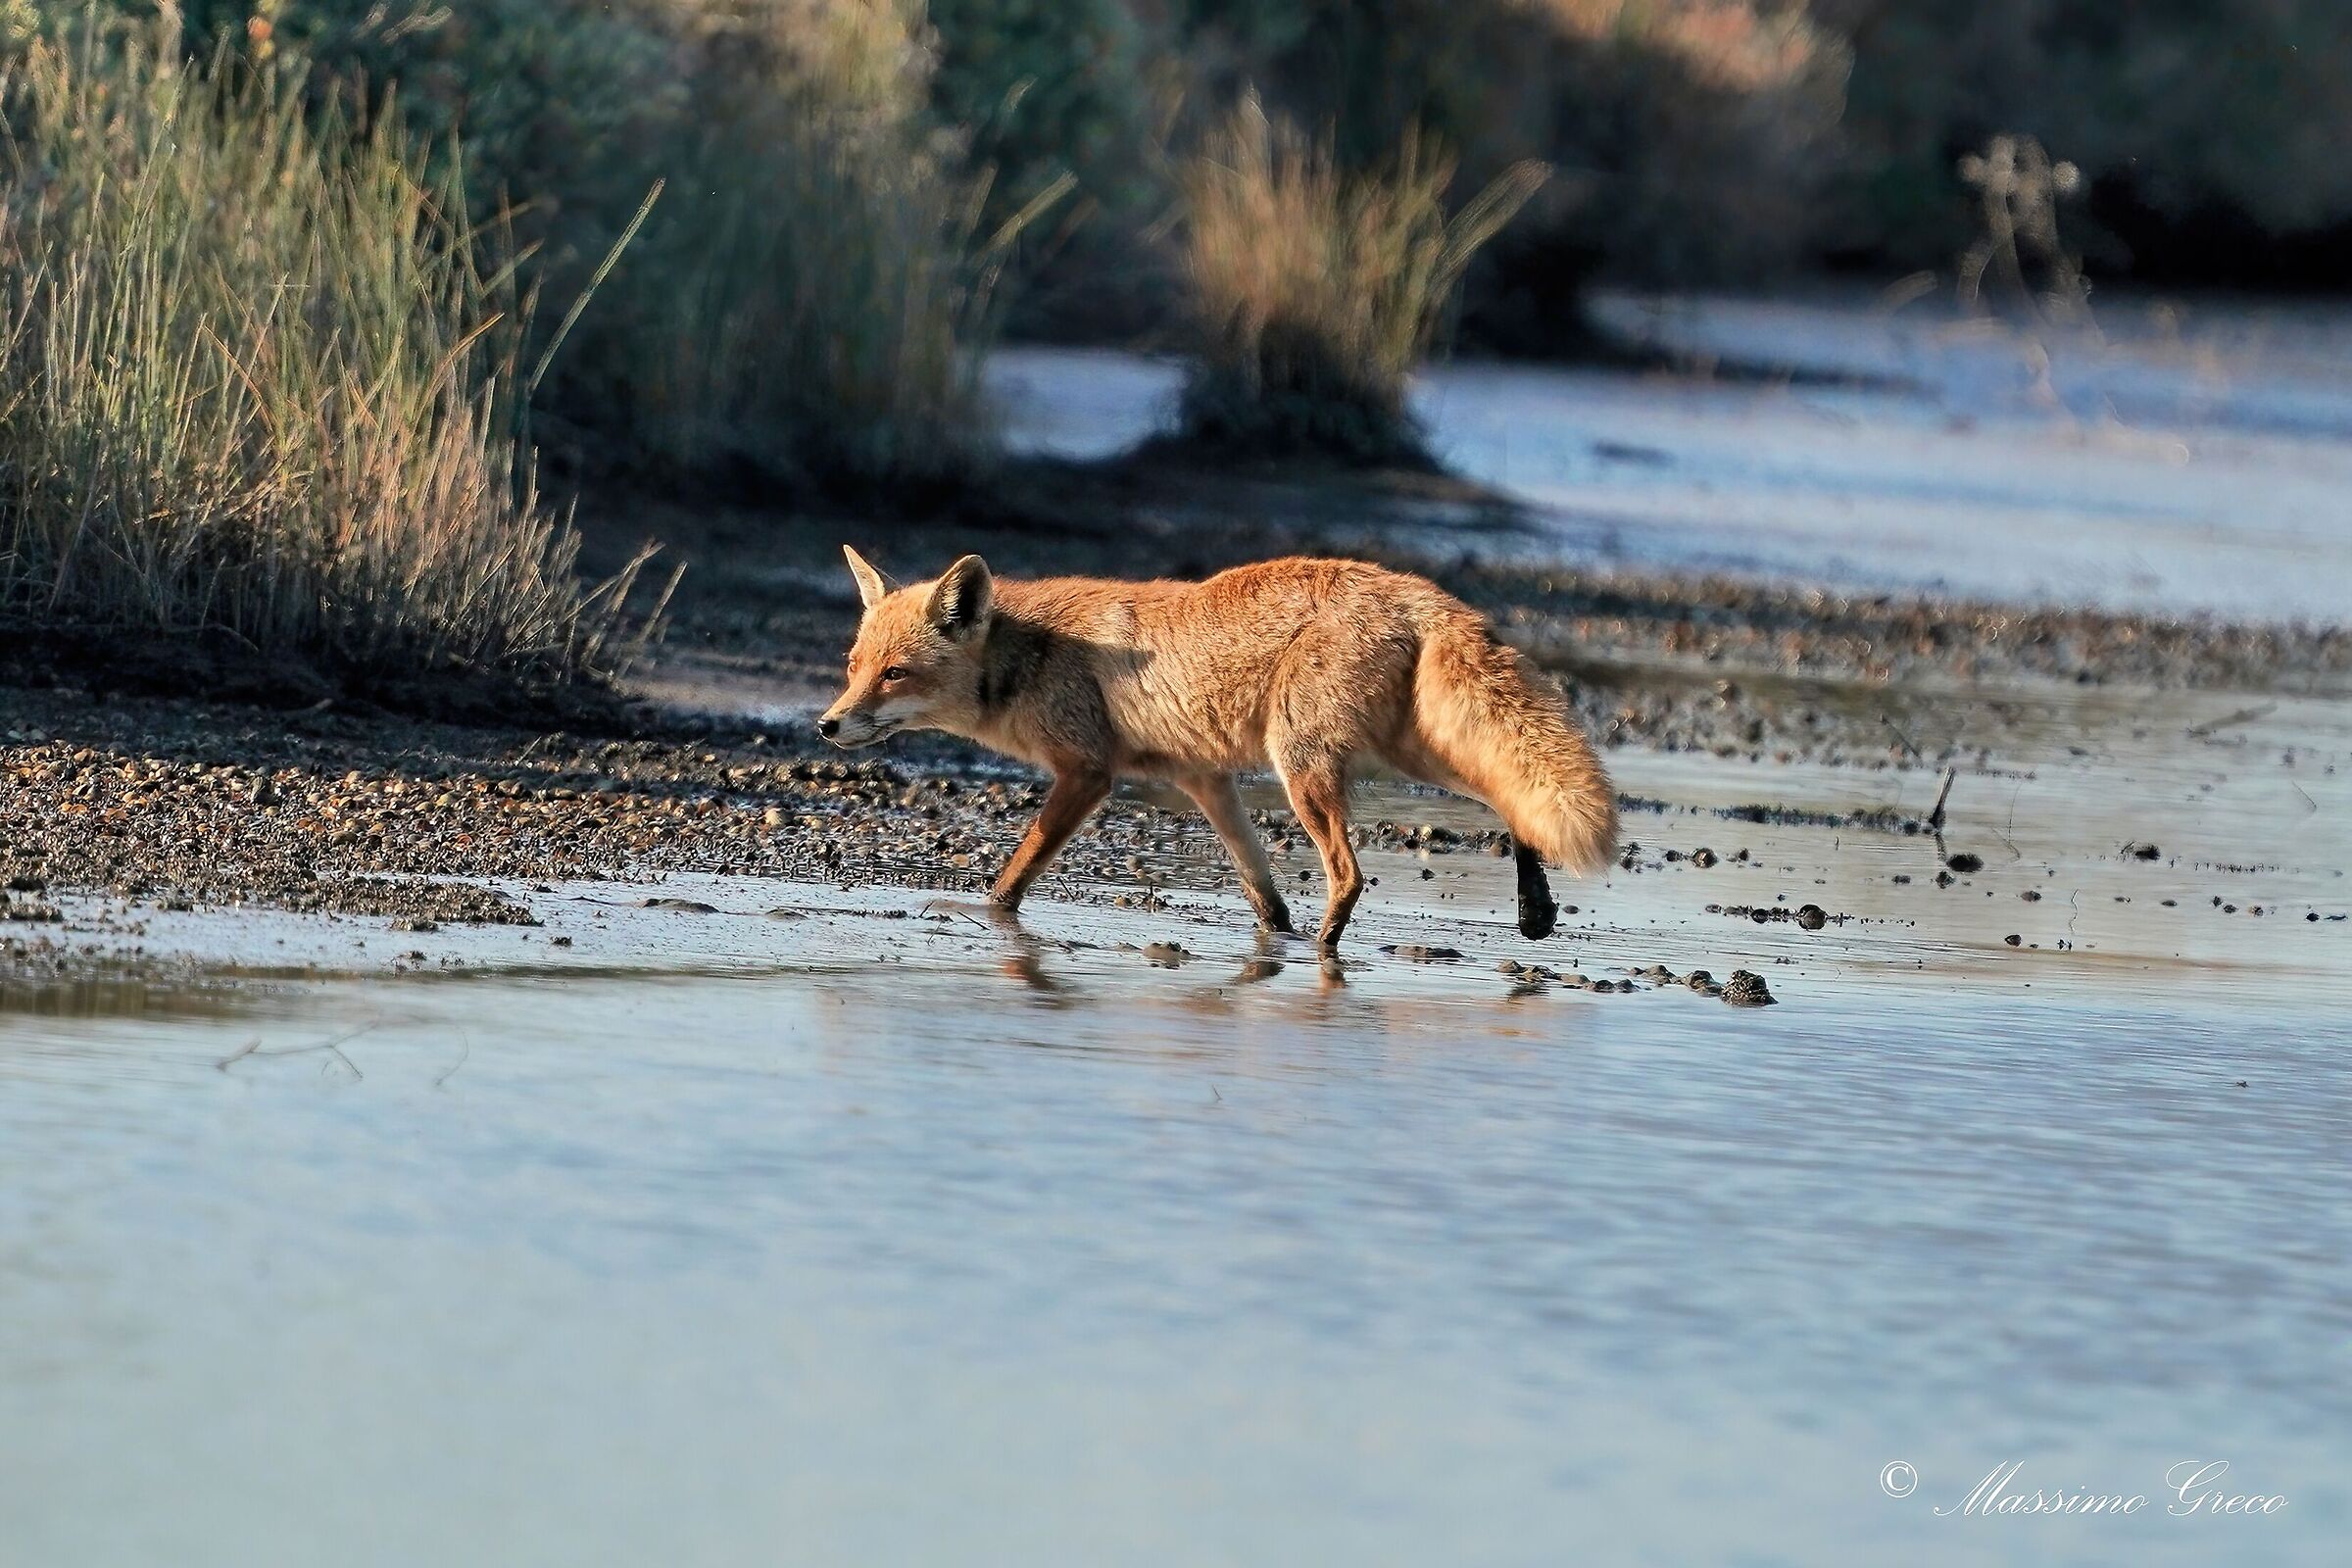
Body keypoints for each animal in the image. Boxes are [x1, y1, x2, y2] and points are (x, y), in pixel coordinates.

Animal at [818, 547, 1617, 950]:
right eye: (854, 666)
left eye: (895, 675)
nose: (827, 726)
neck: (1036, 654)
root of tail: (1413, 589)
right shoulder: (1204, 781)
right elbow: (1263, 893)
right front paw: (1273, 940)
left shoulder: (1088, 773)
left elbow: (1013, 876)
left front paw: (987, 920)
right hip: (1407, 752)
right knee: (1510, 799)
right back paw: (1533, 909)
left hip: (1305, 767)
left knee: (1350, 873)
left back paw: (1328, 954)